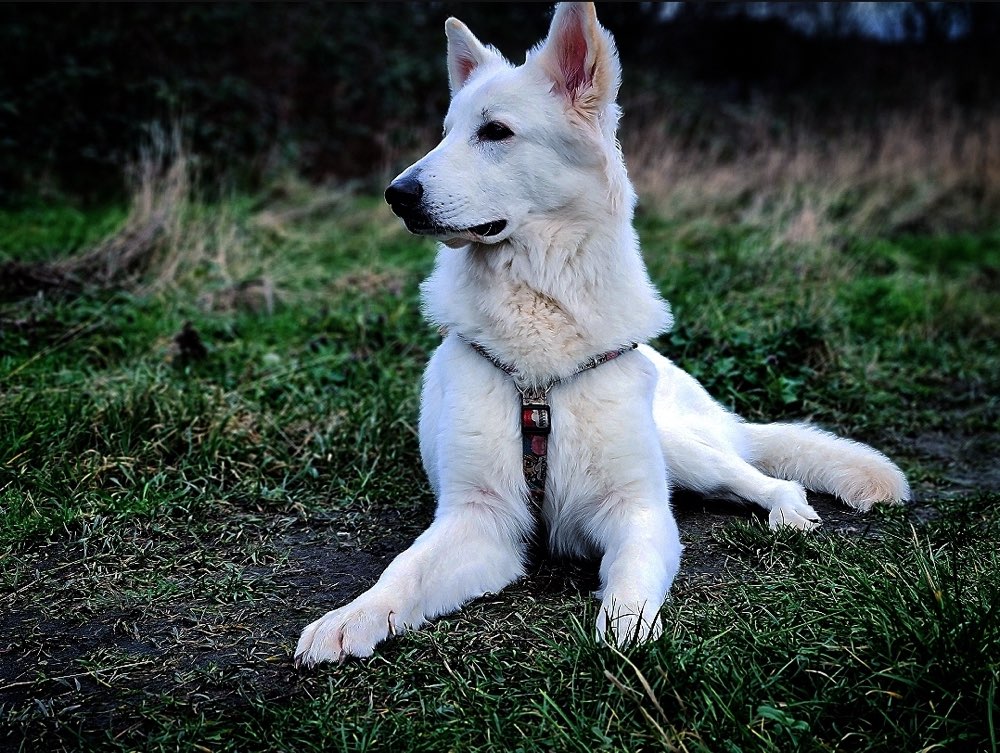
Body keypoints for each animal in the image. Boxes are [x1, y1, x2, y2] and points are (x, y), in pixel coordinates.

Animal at [292, 2, 912, 668]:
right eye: (447, 133)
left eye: (495, 133)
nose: (396, 195)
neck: (539, 340)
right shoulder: (479, 520)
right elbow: (402, 573)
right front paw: (348, 619)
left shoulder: (636, 508)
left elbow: (633, 578)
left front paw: (626, 636)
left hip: (683, 449)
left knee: (766, 477)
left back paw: (789, 512)